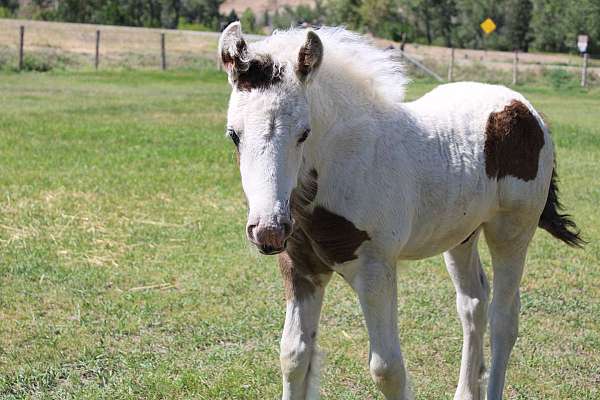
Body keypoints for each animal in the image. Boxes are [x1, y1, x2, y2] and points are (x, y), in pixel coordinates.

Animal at [218, 22, 584, 400]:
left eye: (304, 133)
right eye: (234, 134)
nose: (268, 231)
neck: (342, 165)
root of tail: (525, 108)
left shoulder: (376, 268)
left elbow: (387, 369)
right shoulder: (301, 267)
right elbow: (293, 355)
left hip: (512, 230)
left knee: (503, 318)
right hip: (461, 235)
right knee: (473, 305)